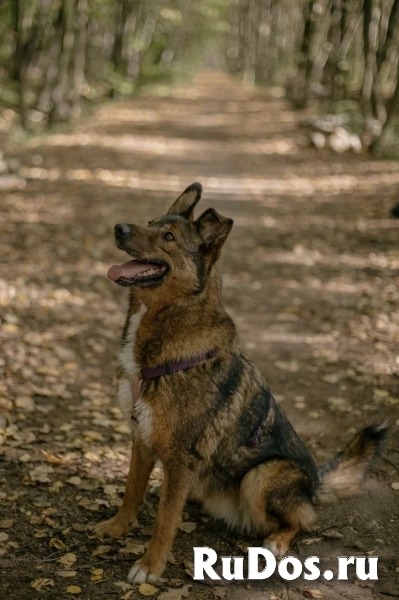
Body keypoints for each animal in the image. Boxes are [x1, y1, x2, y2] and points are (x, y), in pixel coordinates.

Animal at [94, 182, 388, 580]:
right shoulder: (141, 436)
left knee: (304, 520)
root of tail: (314, 484)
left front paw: (150, 566)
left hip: (260, 476)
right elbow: (131, 491)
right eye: (150, 222)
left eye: (168, 237)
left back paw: (277, 541)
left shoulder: (181, 458)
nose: (119, 228)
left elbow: (165, 520)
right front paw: (117, 526)